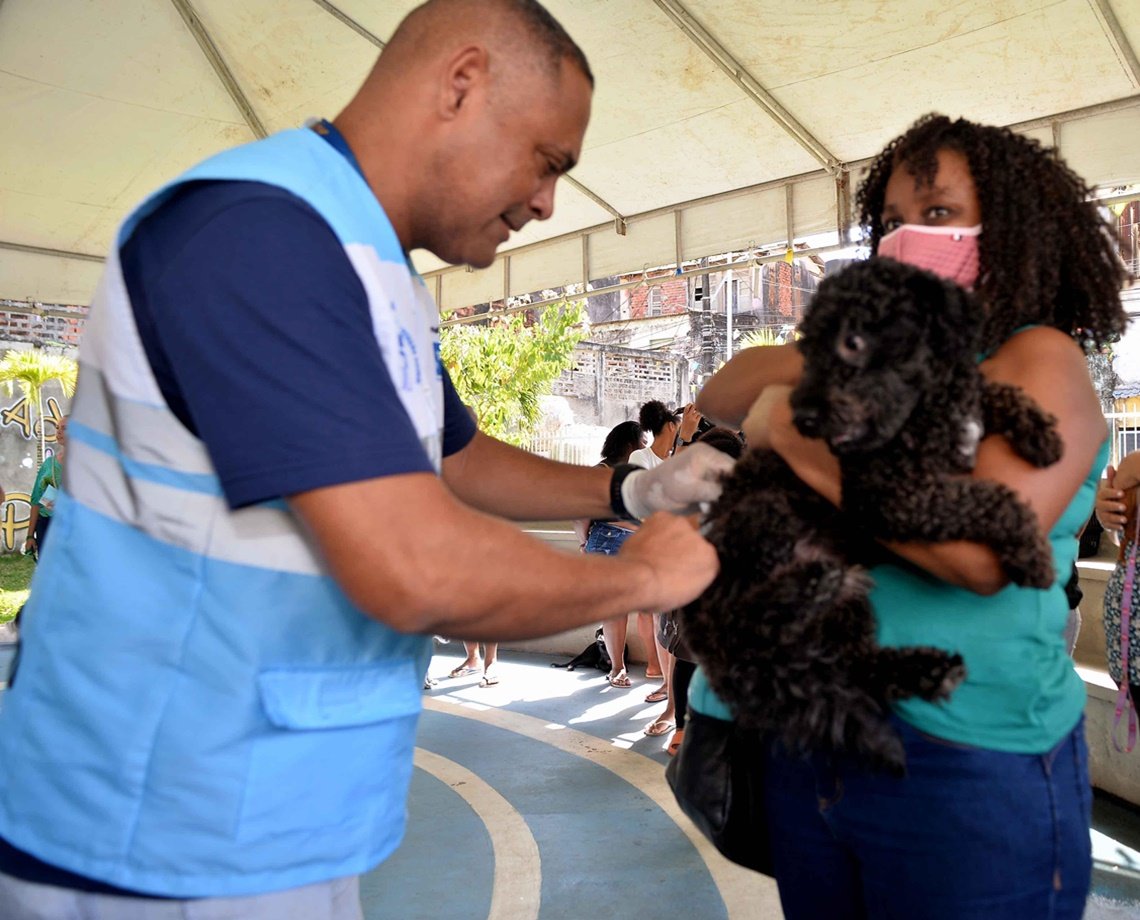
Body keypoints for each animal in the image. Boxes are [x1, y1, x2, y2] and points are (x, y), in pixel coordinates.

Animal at [684, 258, 1067, 775]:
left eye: (853, 341)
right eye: (806, 347)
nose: (803, 419)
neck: (919, 410)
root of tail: (705, 636)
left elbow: (991, 390)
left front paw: (1039, 431)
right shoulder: (889, 497)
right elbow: (991, 498)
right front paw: (1032, 554)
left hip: (849, 606)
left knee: (856, 665)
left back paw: (926, 669)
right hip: (768, 519)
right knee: (761, 616)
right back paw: (808, 583)